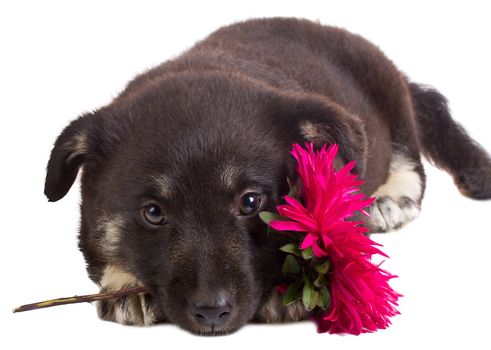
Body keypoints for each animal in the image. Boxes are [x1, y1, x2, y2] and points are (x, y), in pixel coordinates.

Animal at [45, 17, 491, 334]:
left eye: (250, 202)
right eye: (153, 213)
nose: (212, 313)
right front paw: (125, 284)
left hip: (391, 101)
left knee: (411, 162)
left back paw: (388, 200)